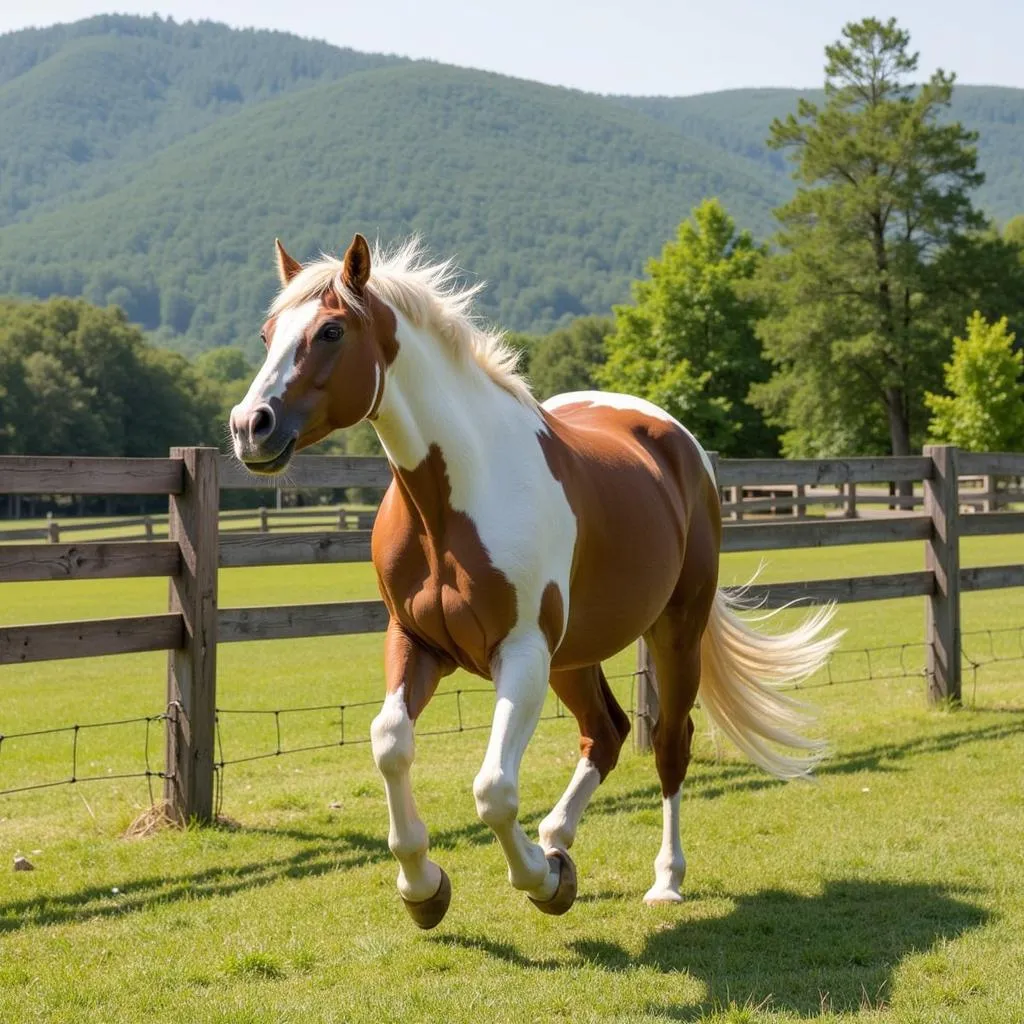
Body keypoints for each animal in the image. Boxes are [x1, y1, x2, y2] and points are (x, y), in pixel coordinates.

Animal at [230, 230, 839, 929]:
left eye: (331, 330)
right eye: (268, 332)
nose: (250, 426)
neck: (455, 499)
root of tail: (679, 442)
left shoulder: (519, 652)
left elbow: (494, 789)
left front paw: (542, 882)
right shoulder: (417, 642)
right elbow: (390, 743)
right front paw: (424, 888)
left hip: (672, 632)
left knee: (668, 743)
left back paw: (663, 879)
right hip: (574, 655)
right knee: (606, 733)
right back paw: (557, 838)